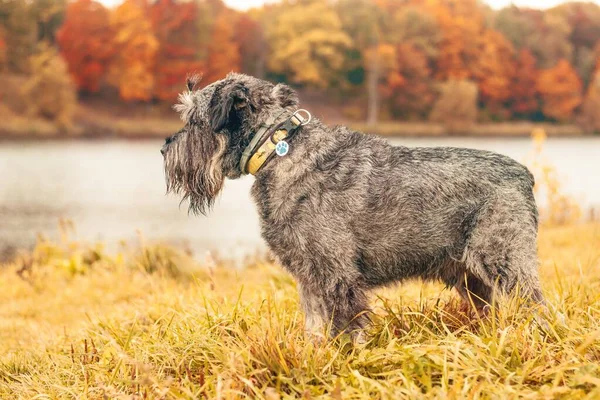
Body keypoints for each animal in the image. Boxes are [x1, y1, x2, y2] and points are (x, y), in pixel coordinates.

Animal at [162, 72, 548, 340]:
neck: (278, 150)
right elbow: (315, 328)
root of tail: (524, 175)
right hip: (472, 278)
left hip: (505, 262)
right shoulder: (310, 277)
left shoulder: (337, 276)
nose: (165, 148)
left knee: (535, 306)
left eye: (194, 120)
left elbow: (345, 332)